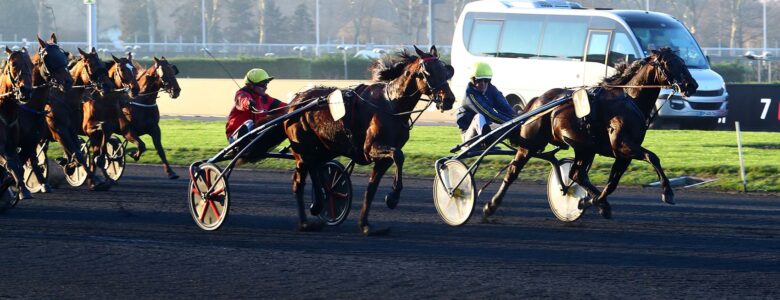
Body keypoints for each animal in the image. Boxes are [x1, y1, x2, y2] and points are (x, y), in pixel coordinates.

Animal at [284, 45, 458, 236]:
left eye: (445, 70)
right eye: (427, 72)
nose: (449, 99)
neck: (391, 105)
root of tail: (295, 101)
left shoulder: (382, 158)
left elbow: (372, 188)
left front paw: (365, 224)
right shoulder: (370, 149)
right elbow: (399, 155)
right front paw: (392, 198)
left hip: (325, 148)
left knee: (316, 168)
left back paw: (320, 202)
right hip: (302, 149)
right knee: (298, 181)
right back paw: (305, 222)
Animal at [484, 47, 696, 220]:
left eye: (683, 62)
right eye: (669, 63)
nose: (692, 85)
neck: (630, 99)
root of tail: (537, 100)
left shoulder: (623, 154)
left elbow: (612, 184)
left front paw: (590, 202)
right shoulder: (622, 146)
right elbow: (653, 157)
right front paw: (668, 192)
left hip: (584, 147)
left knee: (577, 174)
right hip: (530, 145)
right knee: (513, 171)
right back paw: (491, 205)